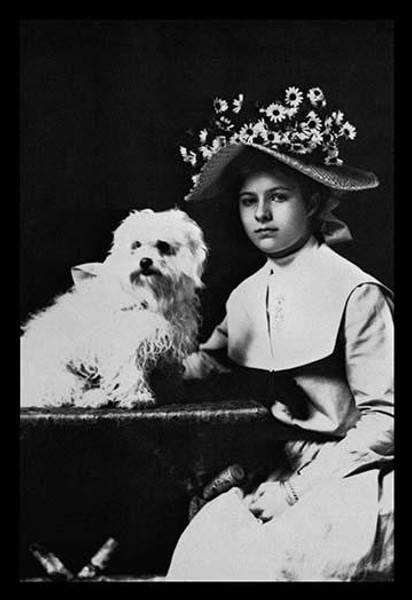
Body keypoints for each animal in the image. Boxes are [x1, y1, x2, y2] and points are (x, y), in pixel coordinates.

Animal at [19, 209, 208, 410]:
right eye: (136, 244)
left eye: (163, 245)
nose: (145, 261)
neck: (150, 297)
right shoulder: (127, 345)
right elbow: (130, 372)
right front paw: (137, 397)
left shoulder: (168, 344)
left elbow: (168, 371)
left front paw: (171, 392)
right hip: (61, 377)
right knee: (65, 394)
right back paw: (94, 398)